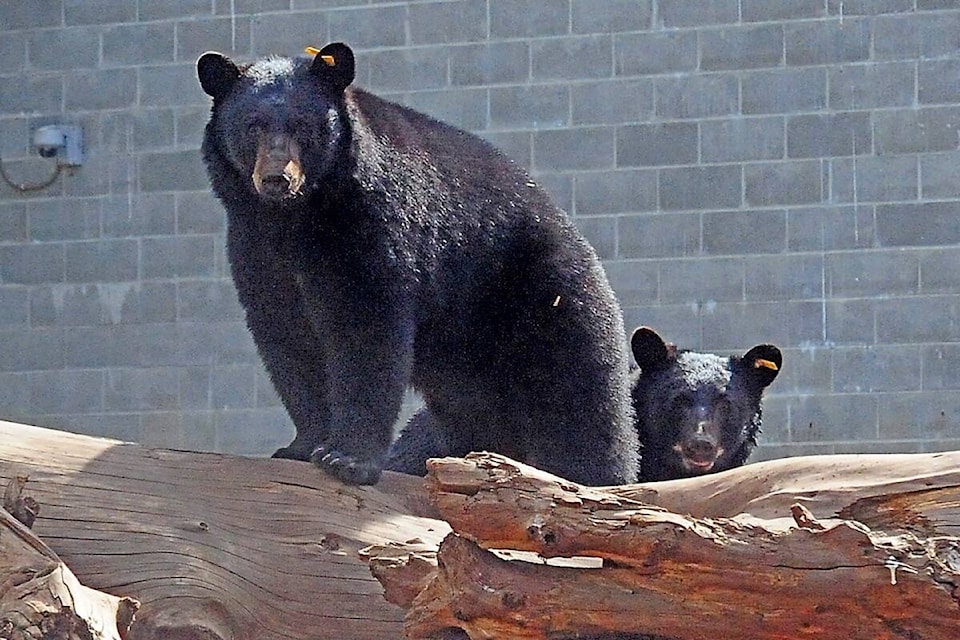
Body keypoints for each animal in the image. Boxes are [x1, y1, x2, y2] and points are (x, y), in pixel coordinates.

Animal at [195, 42, 636, 484]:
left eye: (304, 125)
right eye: (252, 126)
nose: (276, 179)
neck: (297, 216)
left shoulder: (372, 226)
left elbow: (367, 330)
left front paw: (347, 458)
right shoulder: (255, 246)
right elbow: (287, 337)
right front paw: (301, 446)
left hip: (545, 298)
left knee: (579, 395)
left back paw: (592, 476)